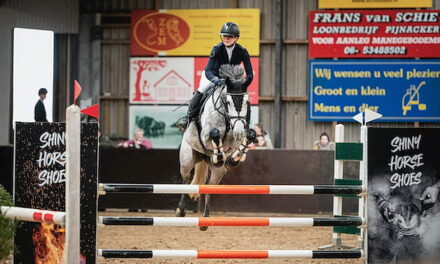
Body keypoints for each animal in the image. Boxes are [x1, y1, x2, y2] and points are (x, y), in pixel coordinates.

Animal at [176, 65, 256, 230]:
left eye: (247, 102)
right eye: (228, 102)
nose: (239, 131)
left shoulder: (235, 139)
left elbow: (248, 137)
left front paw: (232, 159)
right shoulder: (206, 136)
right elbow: (214, 133)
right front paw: (219, 155)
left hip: (218, 173)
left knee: (210, 186)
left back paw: (205, 219)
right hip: (187, 160)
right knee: (186, 179)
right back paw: (180, 210)